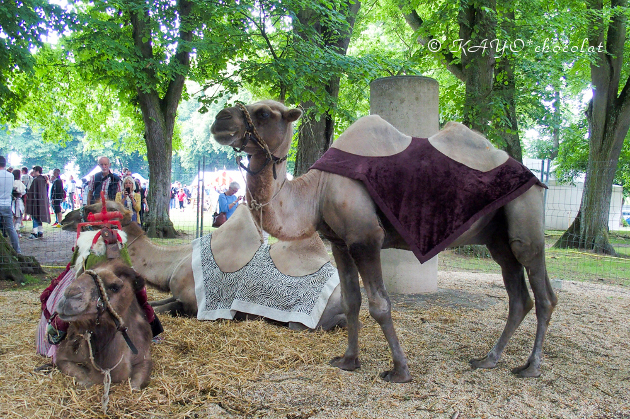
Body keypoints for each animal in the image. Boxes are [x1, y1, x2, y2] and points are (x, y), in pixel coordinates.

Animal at [54, 260, 153, 390]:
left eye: (115, 287)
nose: (69, 294)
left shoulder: (144, 356)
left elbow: (135, 385)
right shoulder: (63, 354)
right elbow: (84, 378)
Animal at [62, 203, 348, 332]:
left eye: (93, 212)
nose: (65, 217)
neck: (176, 260)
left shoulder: (191, 304)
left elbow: (161, 311)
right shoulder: (176, 294)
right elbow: (152, 304)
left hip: (301, 322)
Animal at [211, 100, 556, 382]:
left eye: (264, 113)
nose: (219, 119)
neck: (318, 190)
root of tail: (536, 178)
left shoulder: (365, 238)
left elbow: (379, 304)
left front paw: (400, 371)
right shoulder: (339, 242)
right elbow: (352, 301)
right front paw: (348, 361)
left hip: (525, 220)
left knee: (544, 295)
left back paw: (531, 367)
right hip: (498, 239)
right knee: (519, 297)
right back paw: (488, 359)